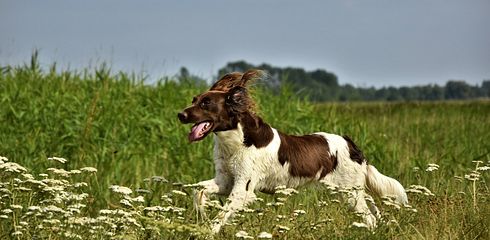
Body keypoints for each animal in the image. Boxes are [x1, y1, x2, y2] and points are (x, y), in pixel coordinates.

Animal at [178, 69, 408, 232]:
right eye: (194, 100)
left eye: (206, 103)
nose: (180, 114)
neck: (237, 140)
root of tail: (352, 145)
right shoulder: (225, 181)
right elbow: (197, 192)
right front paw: (201, 215)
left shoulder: (243, 189)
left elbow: (219, 218)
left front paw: (206, 230)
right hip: (351, 191)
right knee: (373, 209)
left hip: (350, 192)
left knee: (369, 218)